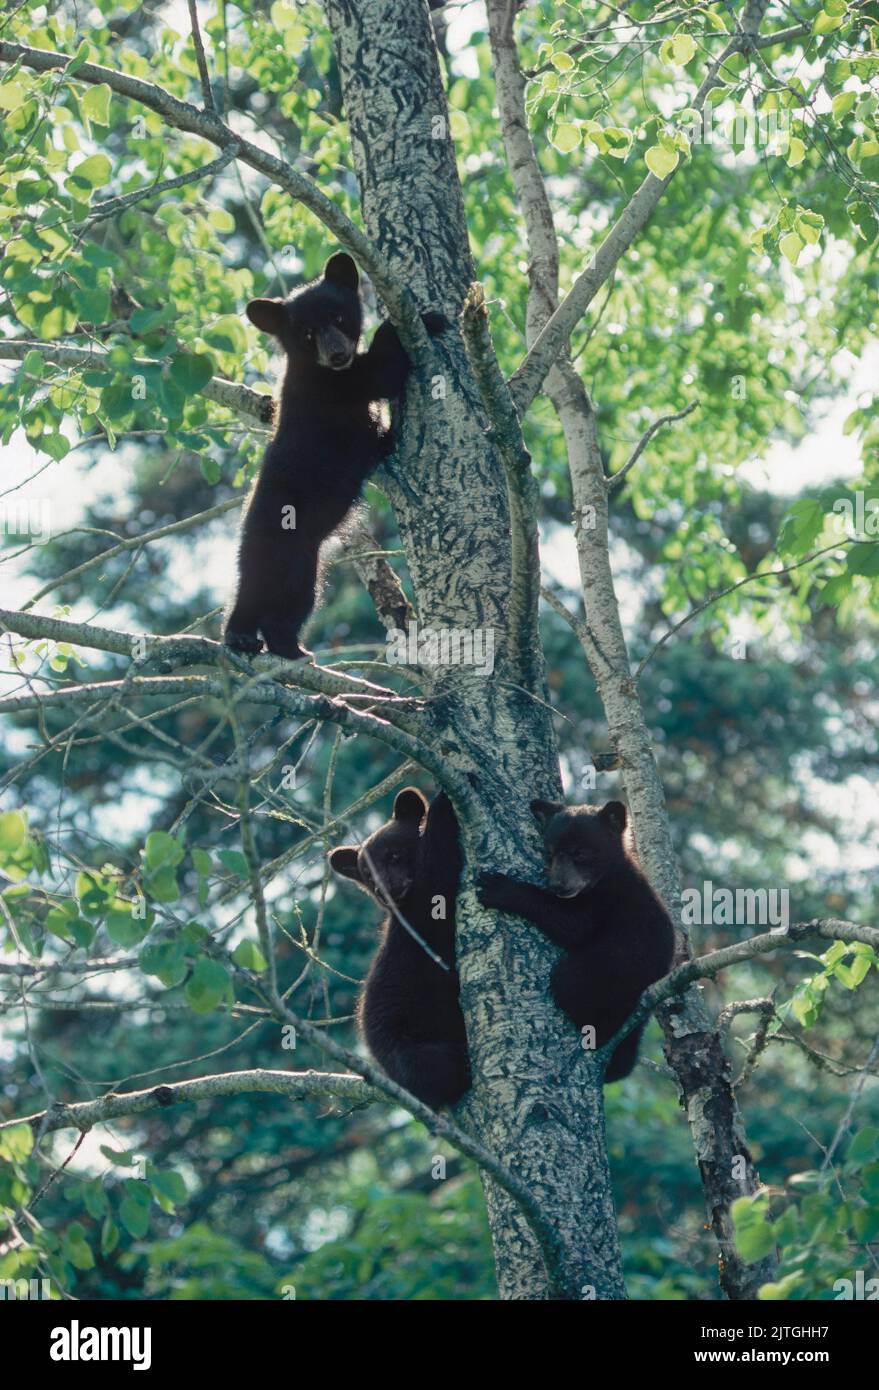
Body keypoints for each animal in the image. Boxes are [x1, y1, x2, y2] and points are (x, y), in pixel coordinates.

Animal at [224, 251, 446, 660]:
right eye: (307, 334)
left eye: (339, 317)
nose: (338, 353)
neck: (316, 369)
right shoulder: (332, 389)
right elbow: (380, 372)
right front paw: (425, 320)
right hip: (288, 552)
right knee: (272, 598)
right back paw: (265, 641)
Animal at [328, 787, 471, 1109]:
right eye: (368, 875)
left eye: (393, 854)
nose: (386, 889)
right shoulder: (424, 909)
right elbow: (438, 868)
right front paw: (443, 801)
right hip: (410, 1049)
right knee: (438, 1068)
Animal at [477, 799, 675, 1081]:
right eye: (549, 852)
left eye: (580, 852)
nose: (558, 885)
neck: (606, 876)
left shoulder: (607, 901)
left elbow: (572, 926)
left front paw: (502, 889)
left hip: (612, 970)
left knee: (568, 982)